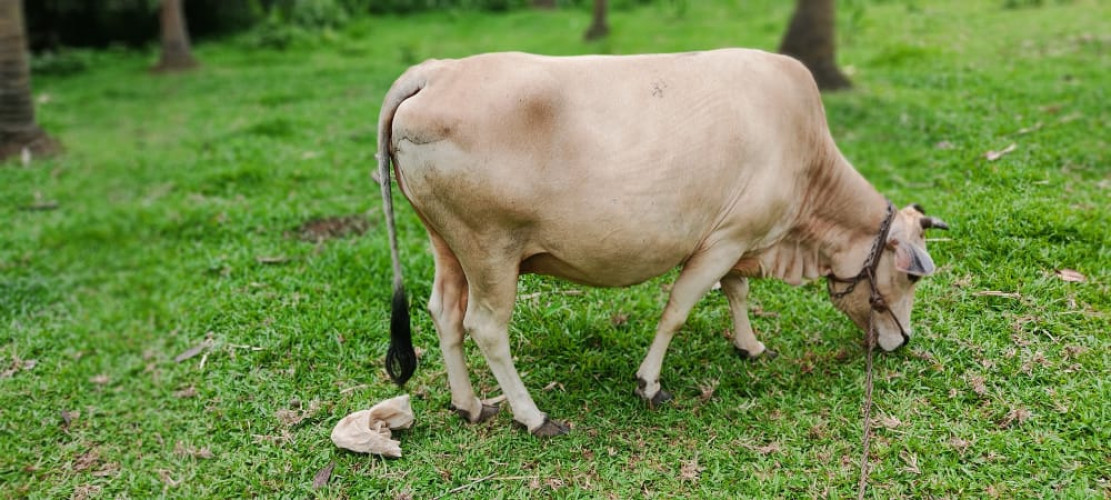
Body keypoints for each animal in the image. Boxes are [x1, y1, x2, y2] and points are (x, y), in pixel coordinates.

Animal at [375, 49, 948, 437]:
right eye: (907, 278)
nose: (902, 342)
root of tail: (435, 71)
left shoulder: (736, 238)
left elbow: (737, 292)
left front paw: (750, 345)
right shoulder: (725, 240)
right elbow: (678, 310)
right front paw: (649, 383)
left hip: (447, 243)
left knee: (445, 313)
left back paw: (470, 404)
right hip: (491, 250)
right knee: (486, 327)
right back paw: (533, 416)